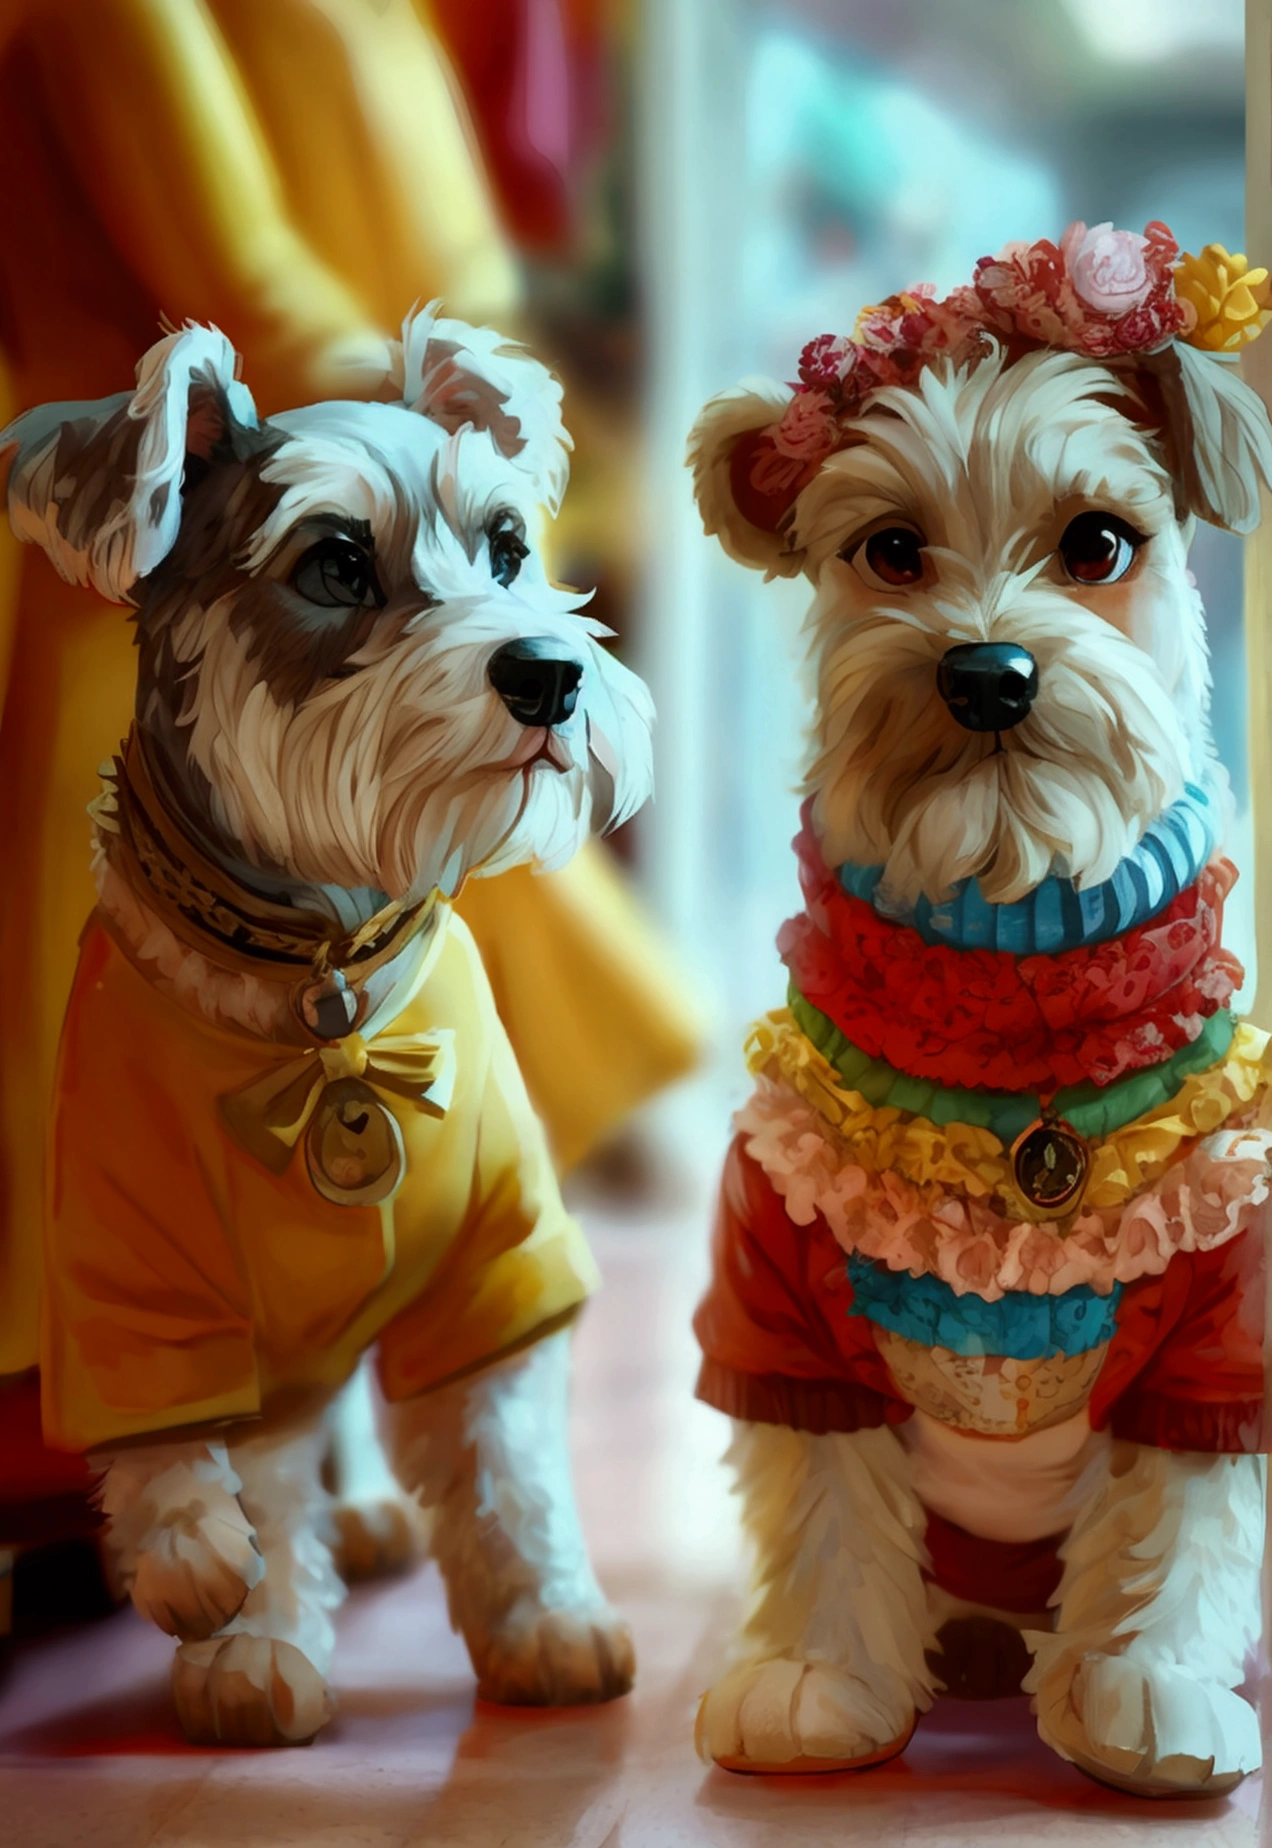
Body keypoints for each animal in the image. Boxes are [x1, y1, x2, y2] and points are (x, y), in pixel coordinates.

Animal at [2, 310, 647, 1737]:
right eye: (337, 563)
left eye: (509, 546)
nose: (552, 676)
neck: (320, 993)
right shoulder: (134, 1283)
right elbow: (207, 1462)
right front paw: (231, 1615)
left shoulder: (496, 1259)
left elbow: (508, 1462)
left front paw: (547, 1620)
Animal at [691, 223, 1272, 1796]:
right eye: (891, 548)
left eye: (1098, 544)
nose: (988, 672)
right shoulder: (781, 1314)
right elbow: (827, 1510)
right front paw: (822, 1682)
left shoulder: (1222, 1333)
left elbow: (1175, 1528)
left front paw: (1145, 1689)